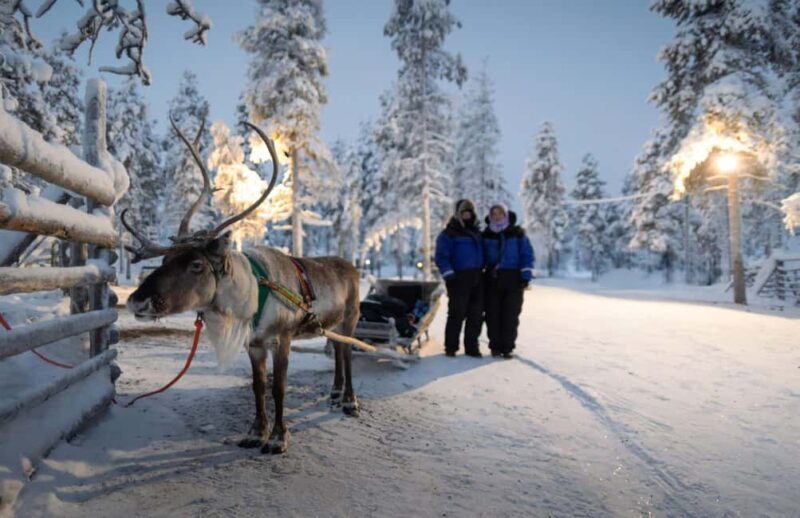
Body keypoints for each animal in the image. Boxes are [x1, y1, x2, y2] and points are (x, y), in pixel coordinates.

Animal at [123, 118, 361, 454]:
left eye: (196, 264)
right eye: (165, 258)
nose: (137, 300)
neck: (250, 298)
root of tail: (352, 266)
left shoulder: (283, 338)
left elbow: (278, 387)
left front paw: (278, 438)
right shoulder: (255, 343)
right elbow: (257, 386)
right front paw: (256, 432)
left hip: (351, 317)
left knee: (349, 353)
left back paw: (350, 401)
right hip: (333, 323)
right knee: (339, 350)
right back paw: (336, 393)